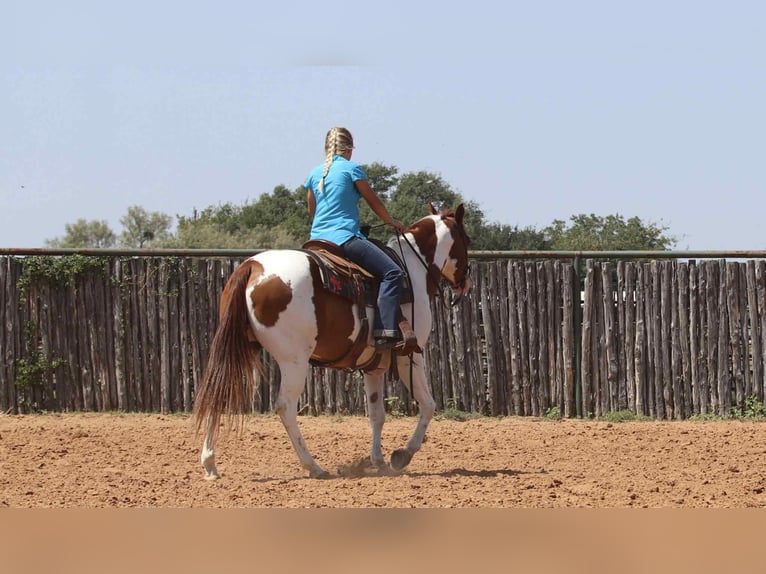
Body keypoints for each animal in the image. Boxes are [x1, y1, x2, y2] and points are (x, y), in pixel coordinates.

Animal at [191, 203, 472, 479]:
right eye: (466, 240)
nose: (465, 284)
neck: (412, 270)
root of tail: (252, 267)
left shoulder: (374, 365)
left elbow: (377, 415)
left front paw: (379, 461)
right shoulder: (410, 355)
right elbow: (428, 404)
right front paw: (402, 455)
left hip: (242, 349)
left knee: (219, 392)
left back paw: (210, 464)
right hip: (294, 361)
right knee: (285, 407)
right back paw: (313, 466)